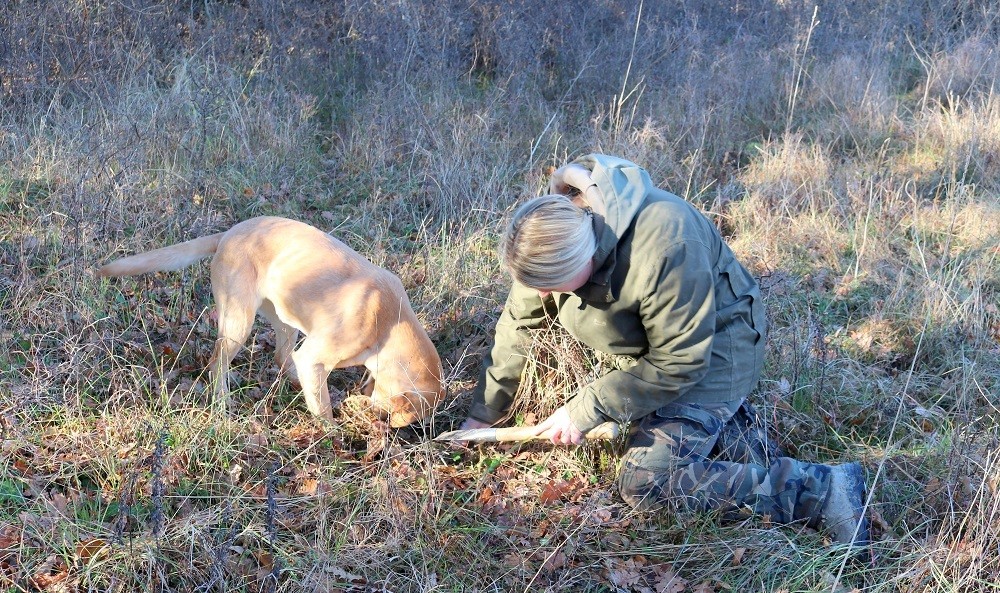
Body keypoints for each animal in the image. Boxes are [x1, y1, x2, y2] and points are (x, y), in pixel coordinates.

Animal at [97, 216, 442, 426]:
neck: (389, 323)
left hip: (284, 319)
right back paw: (222, 405)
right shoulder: (315, 357)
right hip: (238, 320)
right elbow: (323, 410)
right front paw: (332, 433)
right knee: (217, 363)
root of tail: (229, 233)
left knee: (281, 356)